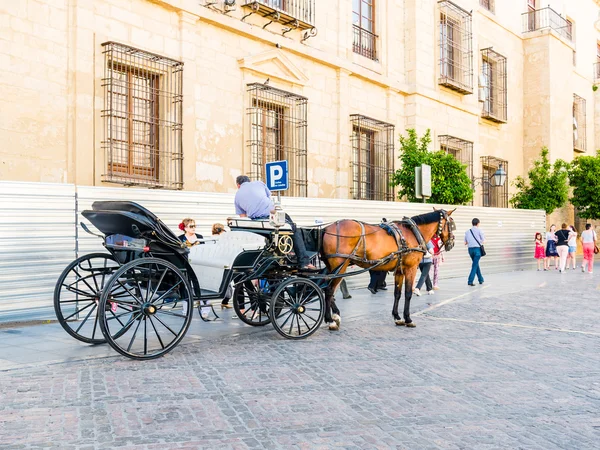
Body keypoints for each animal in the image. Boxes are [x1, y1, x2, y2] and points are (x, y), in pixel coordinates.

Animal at [318, 208, 454, 330]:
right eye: (452, 225)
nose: (451, 244)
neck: (412, 232)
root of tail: (326, 229)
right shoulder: (411, 268)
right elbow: (408, 293)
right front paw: (408, 319)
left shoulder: (399, 270)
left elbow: (397, 293)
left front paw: (397, 317)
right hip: (340, 267)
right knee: (329, 290)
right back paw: (331, 320)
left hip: (333, 268)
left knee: (326, 289)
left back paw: (335, 315)